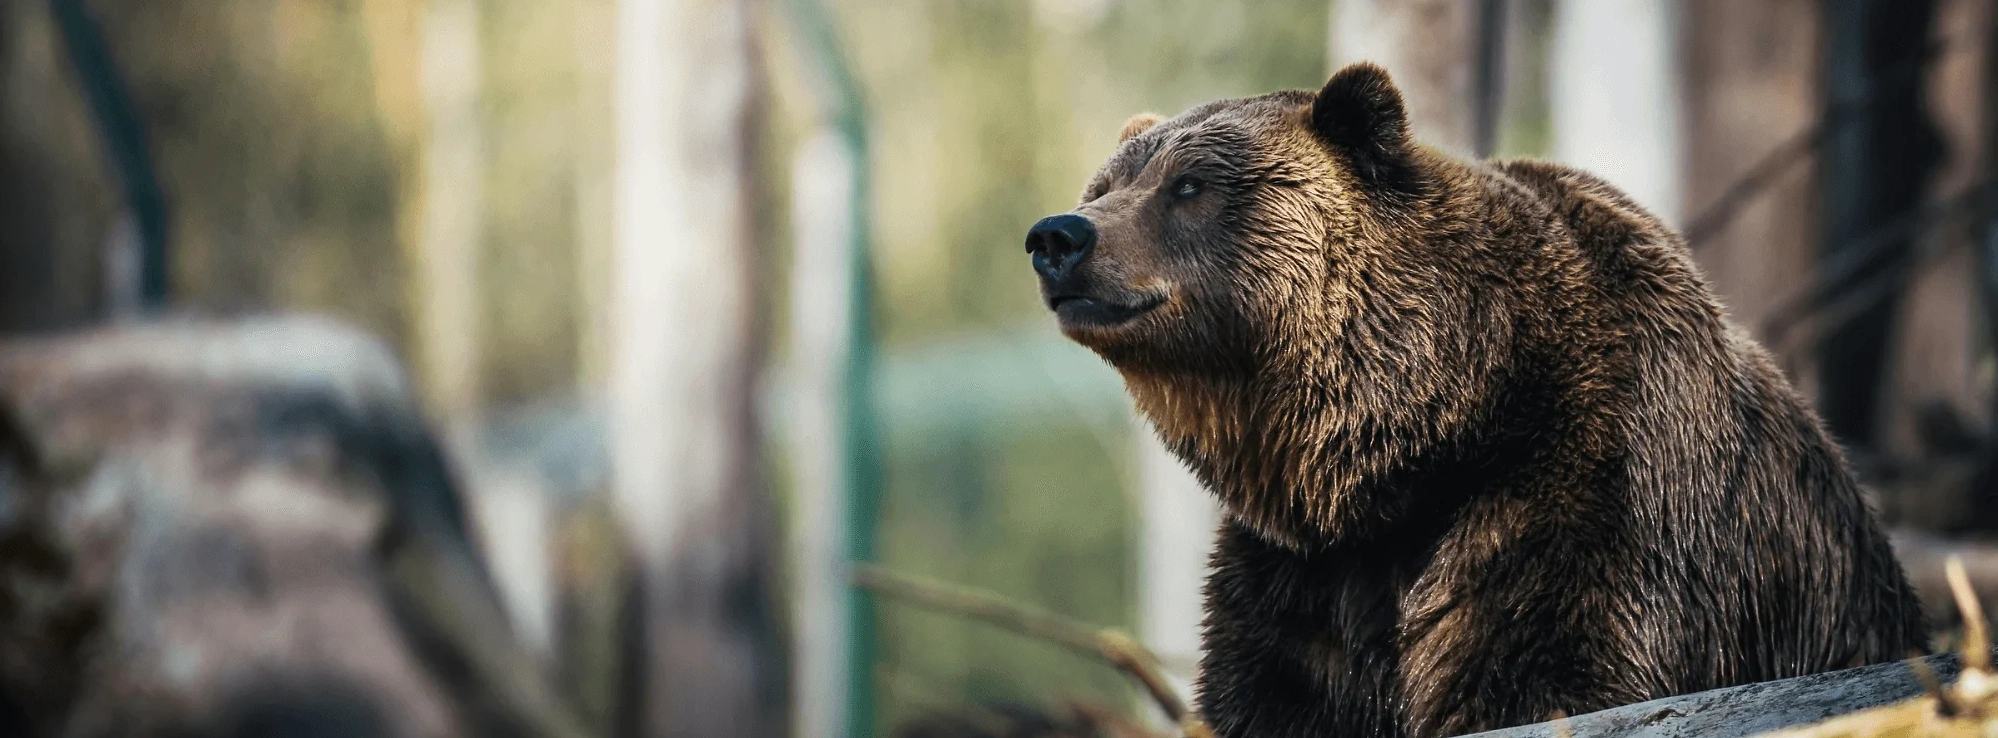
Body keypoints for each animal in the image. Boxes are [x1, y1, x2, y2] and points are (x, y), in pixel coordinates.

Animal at [1020, 63, 1928, 737]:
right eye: (1106, 183)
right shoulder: (1302, 577)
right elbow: (1271, 691)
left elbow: (1546, 672)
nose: (1059, 236)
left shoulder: (1592, 496)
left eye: (1191, 184)